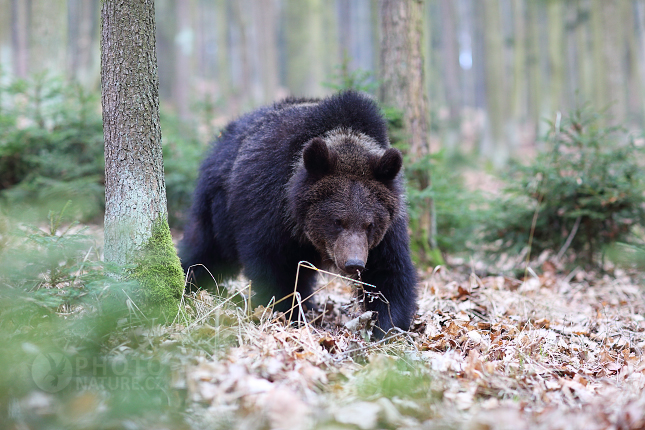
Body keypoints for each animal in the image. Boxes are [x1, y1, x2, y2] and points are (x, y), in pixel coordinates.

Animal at [179, 89, 418, 334]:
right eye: (337, 221)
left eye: (370, 224)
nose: (354, 263)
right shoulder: (267, 207)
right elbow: (274, 269)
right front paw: (286, 313)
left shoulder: (388, 231)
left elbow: (389, 272)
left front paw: (388, 325)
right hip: (219, 206)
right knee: (206, 249)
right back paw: (189, 280)